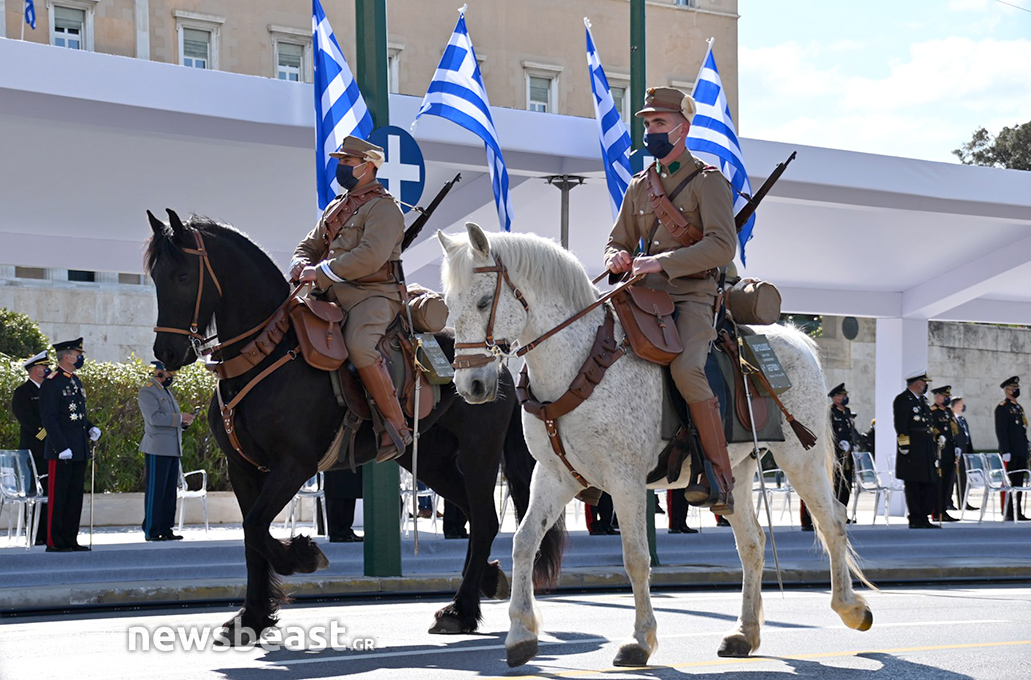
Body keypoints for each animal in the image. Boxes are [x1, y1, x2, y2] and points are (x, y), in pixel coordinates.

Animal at [144, 210, 564, 638]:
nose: (166, 352)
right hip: (432, 459)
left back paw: (461, 609)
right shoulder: (242, 469)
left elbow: (256, 526)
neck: (265, 354)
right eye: (155, 276)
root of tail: (494, 359)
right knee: (478, 517)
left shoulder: (294, 465)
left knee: (483, 520)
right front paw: (252, 617)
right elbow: (251, 535)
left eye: (182, 275)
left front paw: (302, 556)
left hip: (479, 452)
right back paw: (483, 582)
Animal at [439, 224, 874, 667]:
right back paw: (744, 633)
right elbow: (525, 543)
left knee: (832, 520)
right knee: (752, 543)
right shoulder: (555, 476)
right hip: (735, 472)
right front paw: (520, 634)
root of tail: (797, 338)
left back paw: (850, 608)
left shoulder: (625, 480)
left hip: (800, 458)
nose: (471, 386)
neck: (578, 362)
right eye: (448, 305)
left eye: (484, 301)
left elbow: (636, 557)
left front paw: (640, 640)